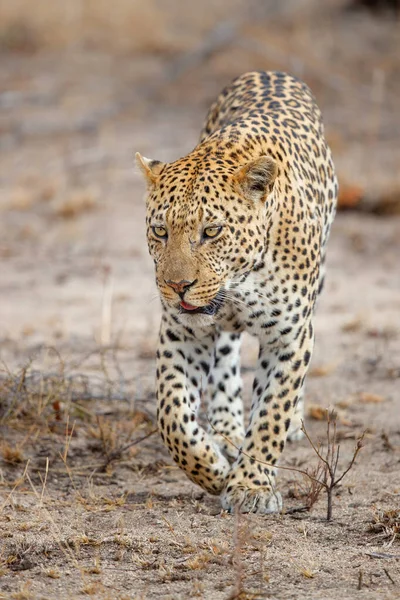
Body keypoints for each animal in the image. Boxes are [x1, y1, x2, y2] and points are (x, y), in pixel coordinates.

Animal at [136, 70, 336, 510]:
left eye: (211, 231)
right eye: (160, 231)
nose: (177, 286)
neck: (240, 281)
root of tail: (268, 71)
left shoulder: (290, 336)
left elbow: (272, 412)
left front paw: (250, 486)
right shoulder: (182, 332)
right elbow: (171, 413)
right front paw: (213, 467)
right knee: (226, 357)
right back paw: (226, 429)